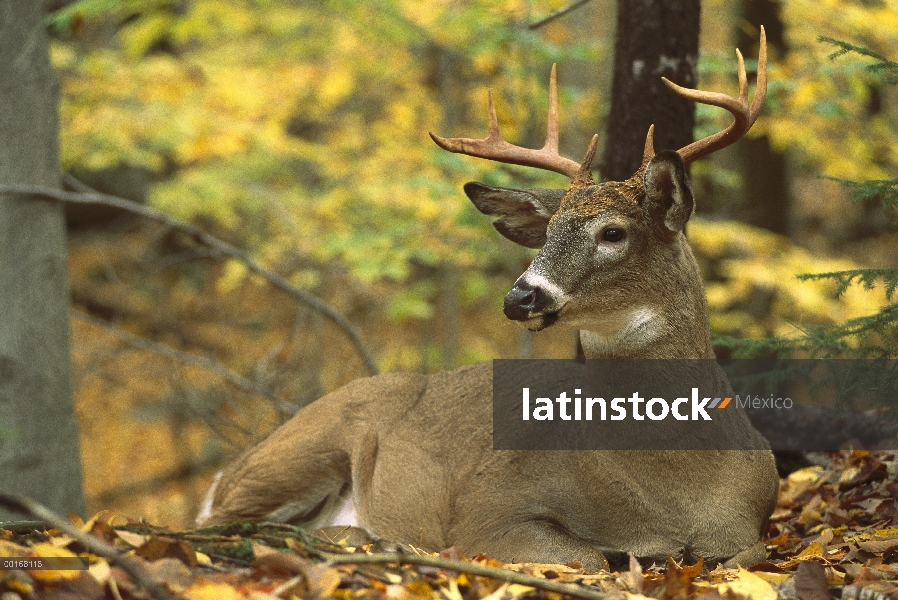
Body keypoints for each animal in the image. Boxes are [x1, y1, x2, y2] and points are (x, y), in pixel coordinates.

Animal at [198, 29, 776, 572]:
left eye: (613, 233)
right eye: (548, 233)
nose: (520, 296)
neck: (675, 496)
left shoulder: (750, 525)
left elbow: (748, 555)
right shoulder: (491, 504)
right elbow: (588, 556)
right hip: (302, 448)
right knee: (220, 524)